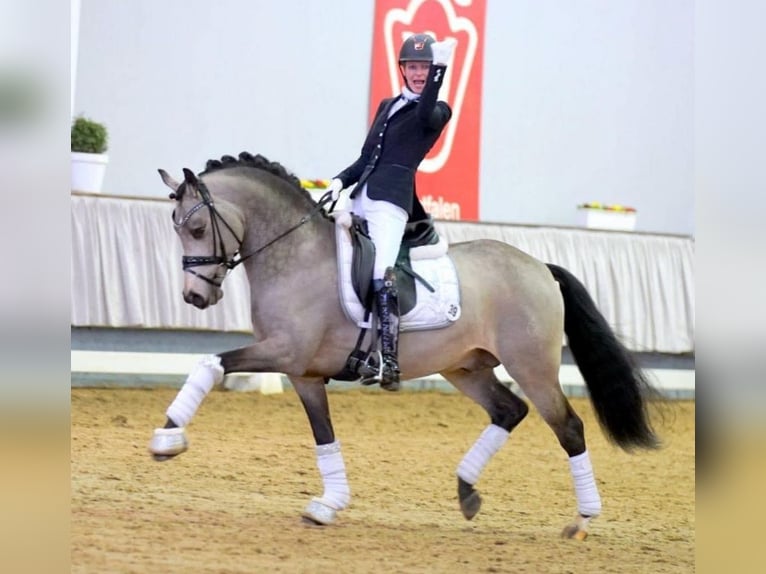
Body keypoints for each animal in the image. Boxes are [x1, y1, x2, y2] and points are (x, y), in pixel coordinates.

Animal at [148, 152, 660, 540]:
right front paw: (329, 504)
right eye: (174, 227)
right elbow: (324, 436)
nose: (195, 298)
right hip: (466, 367)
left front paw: (167, 440)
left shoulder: (285, 352)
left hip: (531, 366)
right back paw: (466, 491)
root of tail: (539, 267)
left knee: (568, 427)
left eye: (196, 229)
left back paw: (581, 520)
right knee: (508, 410)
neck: (295, 255)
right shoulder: (304, 373)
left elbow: (210, 363)